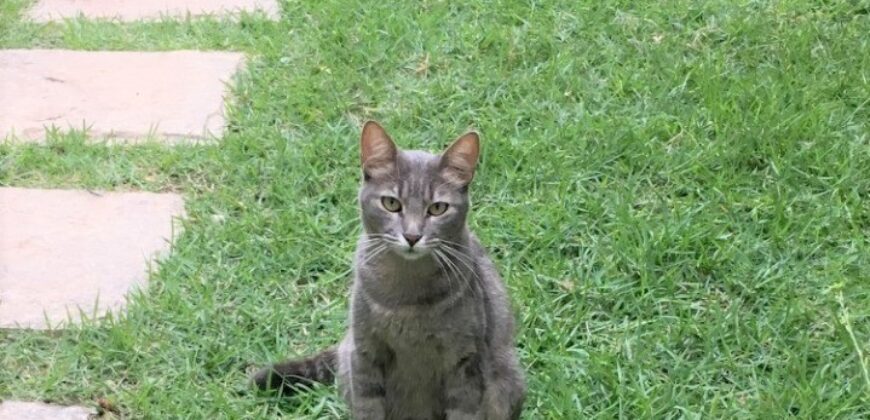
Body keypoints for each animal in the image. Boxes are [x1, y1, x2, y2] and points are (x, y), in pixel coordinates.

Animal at [252, 121, 524, 420]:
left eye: (438, 208)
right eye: (391, 203)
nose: (412, 236)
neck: (407, 297)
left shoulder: (465, 363)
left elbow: (463, 411)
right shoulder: (365, 355)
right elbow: (368, 407)